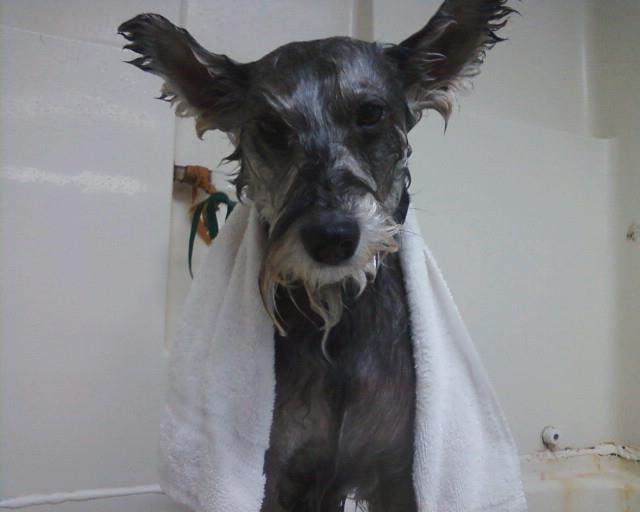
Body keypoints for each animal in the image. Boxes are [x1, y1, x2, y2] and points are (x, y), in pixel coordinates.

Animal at [119, 1, 512, 510]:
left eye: (371, 113)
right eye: (270, 127)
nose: (331, 237)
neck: (337, 318)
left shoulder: (399, 474)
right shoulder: (273, 474)